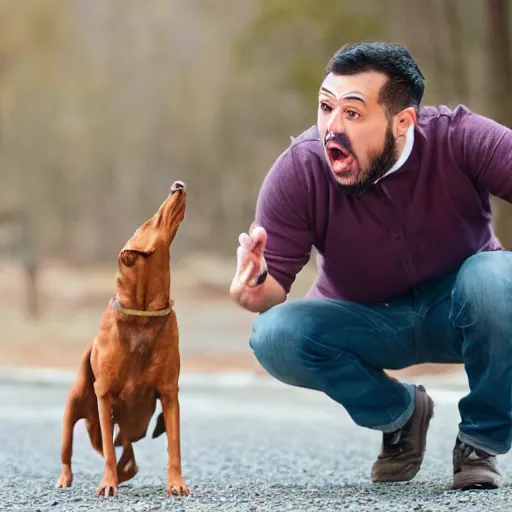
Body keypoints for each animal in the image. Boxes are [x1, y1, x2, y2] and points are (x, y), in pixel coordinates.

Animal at [55, 180, 190, 496]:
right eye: (150, 221)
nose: (177, 185)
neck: (142, 315)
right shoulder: (104, 396)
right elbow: (107, 448)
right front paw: (108, 483)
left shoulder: (169, 393)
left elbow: (174, 445)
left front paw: (177, 484)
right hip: (73, 408)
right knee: (72, 451)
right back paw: (66, 478)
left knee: (128, 457)